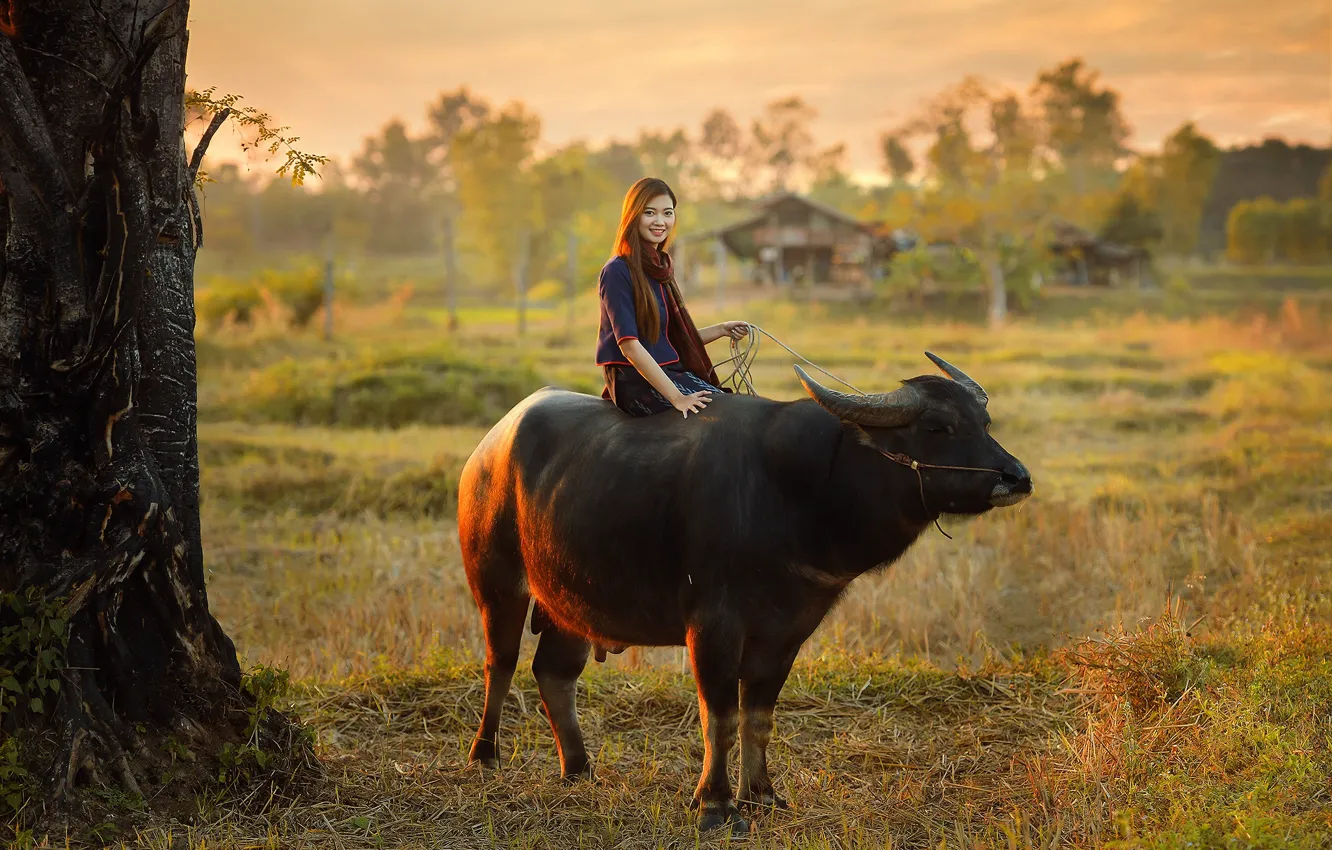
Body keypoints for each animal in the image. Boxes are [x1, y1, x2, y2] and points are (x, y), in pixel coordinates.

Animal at [458, 353, 1032, 834]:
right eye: (938, 427)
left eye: (983, 423)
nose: (1016, 478)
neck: (797, 490)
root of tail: (488, 450)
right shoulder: (713, 628)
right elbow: (721, 717)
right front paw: (715, 804)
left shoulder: (786, 634)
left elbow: (758, 718)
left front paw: (763, 795)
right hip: (497, 584)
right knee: (500, 664)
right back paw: (484, 757)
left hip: (570, 603)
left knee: (554, 675)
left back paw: (578, 769)